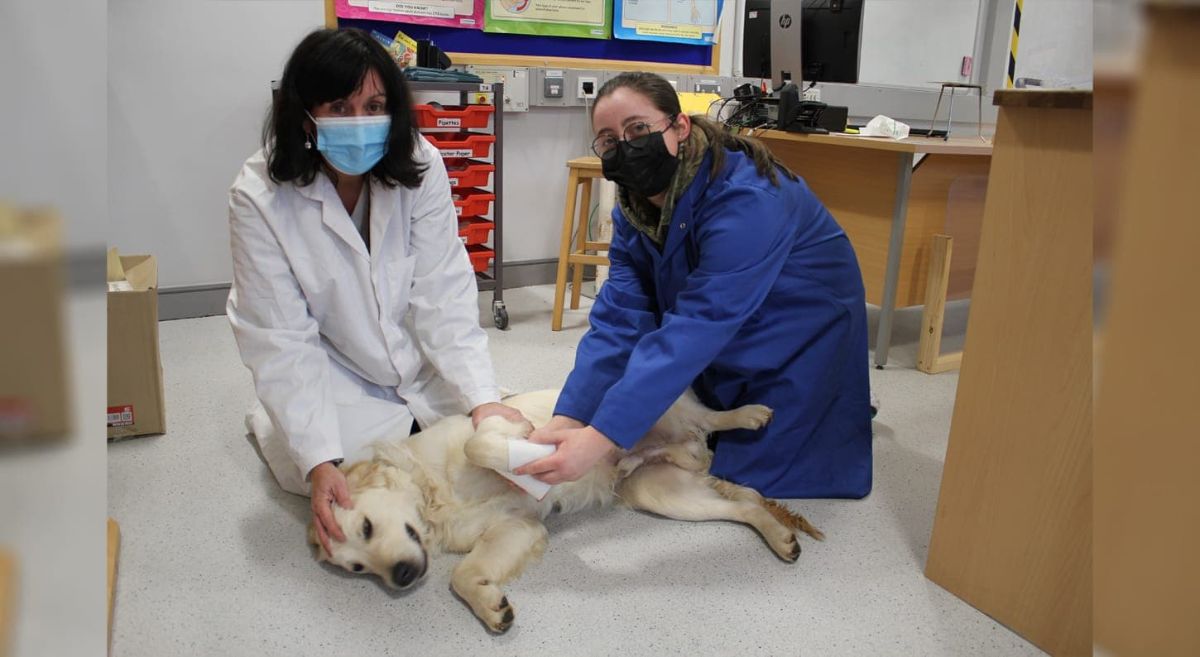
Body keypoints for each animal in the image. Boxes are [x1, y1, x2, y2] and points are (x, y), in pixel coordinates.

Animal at [307, 390, 825, 633]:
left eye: (366, 526)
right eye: (357, 568)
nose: (401, 577)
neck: (433, 495)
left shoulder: (490, 431)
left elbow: (485, 442)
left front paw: (520, 446)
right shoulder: (517, 527)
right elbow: (462, 575)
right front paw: (490, 606)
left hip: (659, 413)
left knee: (709, 417)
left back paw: (750, 414)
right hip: (663, 494)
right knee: (745, 502)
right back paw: (780, 536)